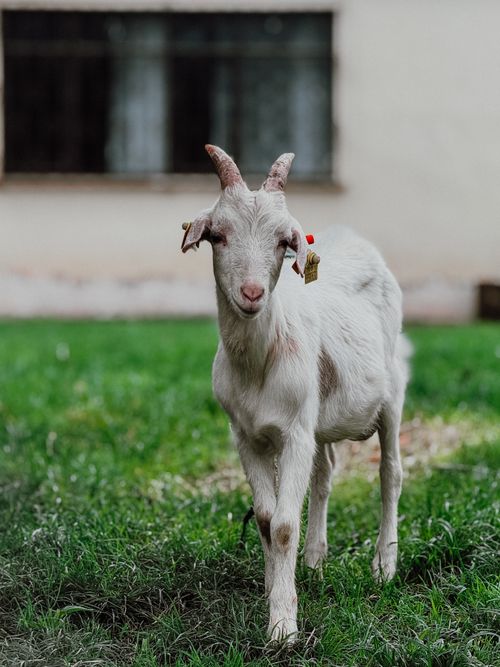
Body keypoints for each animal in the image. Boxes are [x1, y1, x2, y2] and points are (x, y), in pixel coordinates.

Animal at [181, 145, 409, 642]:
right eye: (218, 235)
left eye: (283, 241)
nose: (251, 293)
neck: (257, 365)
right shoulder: (246, 435)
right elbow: (266, 520)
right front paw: (274, 589)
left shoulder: (294, 432)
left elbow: (285, 524)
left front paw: (283, 626)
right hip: (319, 419)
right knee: (324, 474)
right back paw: (315, 561)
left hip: (391, 395)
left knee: (391, 473)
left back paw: (384, 565)